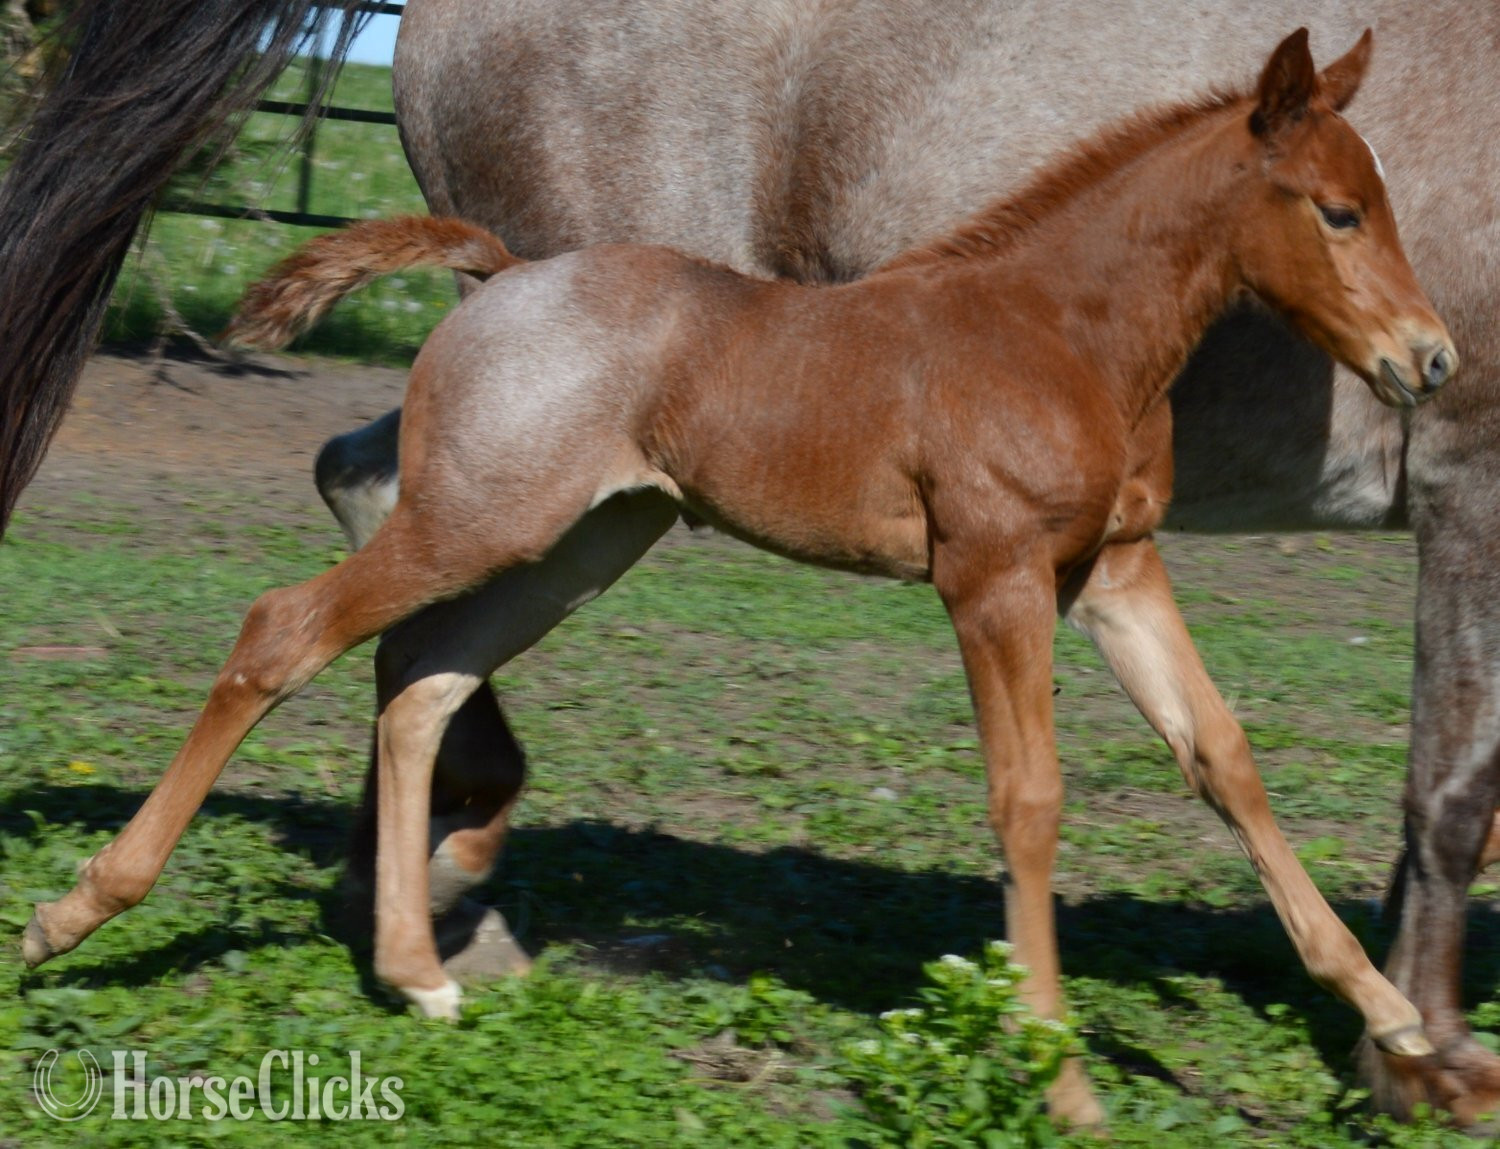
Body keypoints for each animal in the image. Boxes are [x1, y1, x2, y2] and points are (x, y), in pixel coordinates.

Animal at [19, 30, 1457, 1128]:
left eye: (1383, 201)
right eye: (1338, 210)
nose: (1431, 358)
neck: (1063, 333)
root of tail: (503, 273)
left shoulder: (1115, 567)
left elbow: (1225, 757)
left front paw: (1398, 1019)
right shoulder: (991, 577)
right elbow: (1030, 800)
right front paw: (1060, 1079)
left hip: (581, 541)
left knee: (419, 678)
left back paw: (420, 970)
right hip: (478, 519)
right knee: (287, 631)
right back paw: (78, 911)